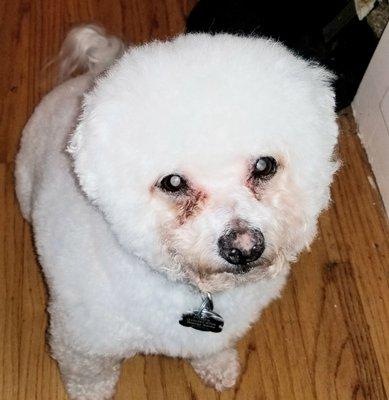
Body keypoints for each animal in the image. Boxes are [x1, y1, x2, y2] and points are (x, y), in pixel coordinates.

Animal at [14, 25, 336, 400]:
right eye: (173, 182)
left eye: (263, 165)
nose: (243, 247)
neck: (194, 289)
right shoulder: (82, 342)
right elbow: (90, 375)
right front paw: (91, 393)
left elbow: (213, 348)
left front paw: (218, 367)